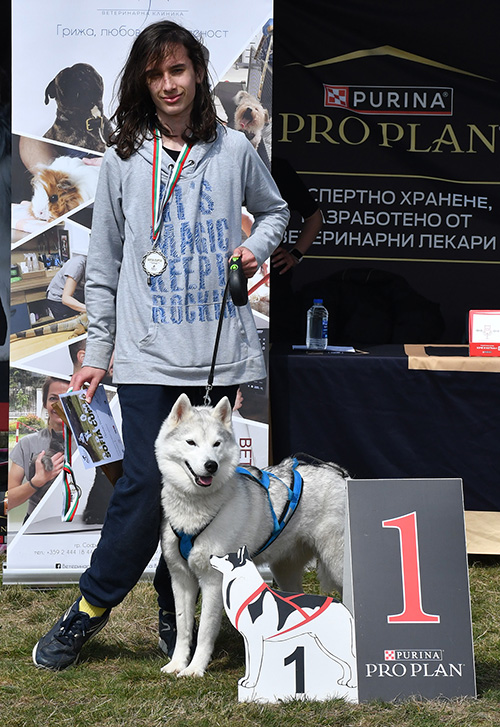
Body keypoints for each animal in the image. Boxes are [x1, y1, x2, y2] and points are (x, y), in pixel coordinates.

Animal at [155, 393, 347, 677]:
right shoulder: (181, 579)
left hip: (337, 565)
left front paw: (195, 669)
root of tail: (337, 472)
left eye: (216, 444)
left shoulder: (212, 582)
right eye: (191, 443)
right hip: (285, 571)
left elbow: (204, 632)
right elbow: (183, 629)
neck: (196, 508)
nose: (211, 466)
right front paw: (178, 664)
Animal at [211, 546, 357, 692]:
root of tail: (343, 607)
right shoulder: (247, 639)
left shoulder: (255, 639)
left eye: (226, 558)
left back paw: (352, 683)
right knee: (345, 662)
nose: (211, 556)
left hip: (331, 641)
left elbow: (255, 664)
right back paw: (344, 681)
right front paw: (246, 680)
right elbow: (250, 663)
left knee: (351, 659)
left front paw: (251, 683)